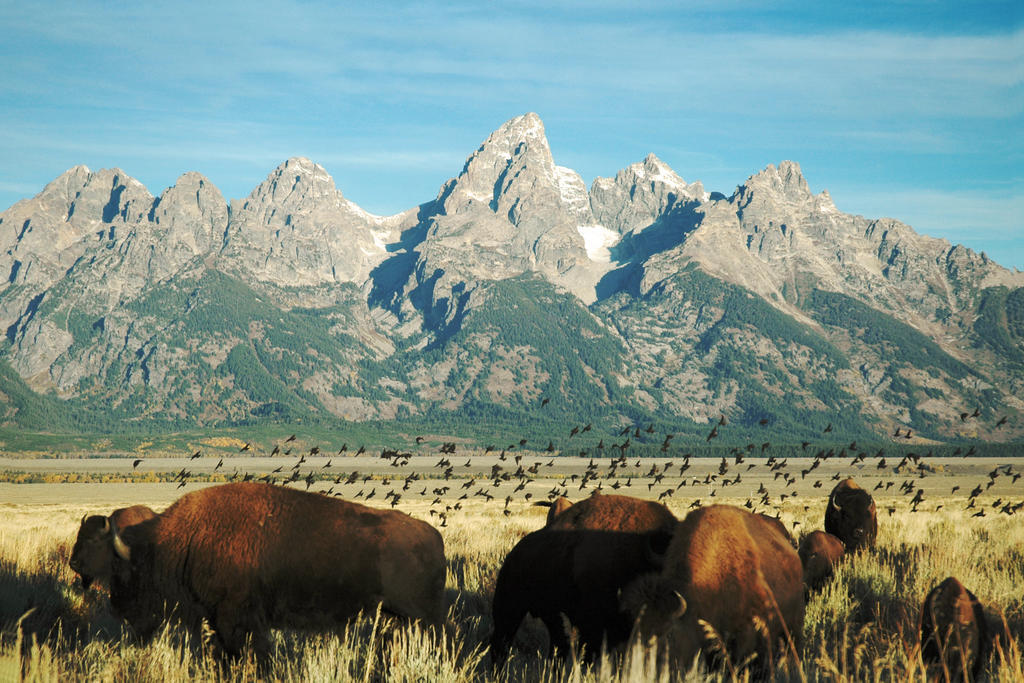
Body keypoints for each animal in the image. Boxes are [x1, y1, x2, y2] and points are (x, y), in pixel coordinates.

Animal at [101, 483, 446, 659]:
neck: (185, 540)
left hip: (424, 614)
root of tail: (434, 536)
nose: (116, 608)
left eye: (128, 573)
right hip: (405, 617)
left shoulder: (233, 618)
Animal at [489, 493, 675, 663]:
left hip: (550, 615)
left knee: (558, 644)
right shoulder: (593, 626)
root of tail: (513, 553)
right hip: (509, 608)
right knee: (501, 643)